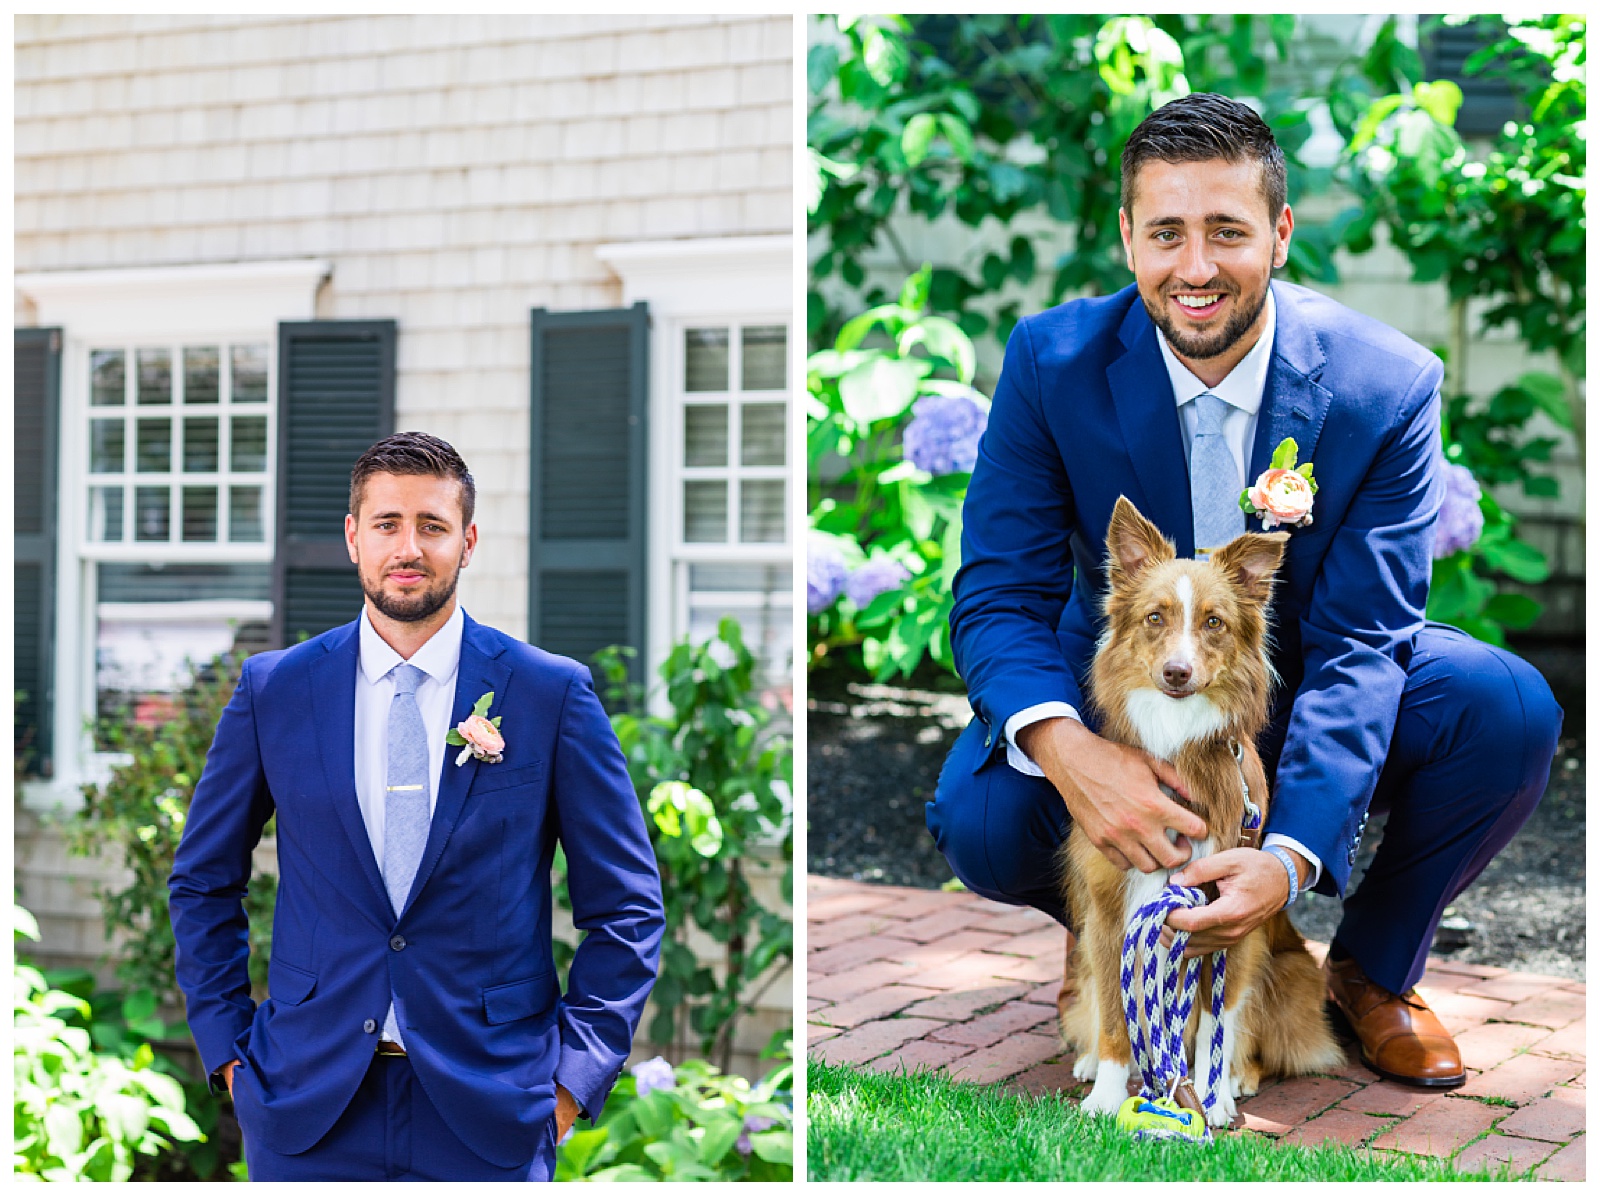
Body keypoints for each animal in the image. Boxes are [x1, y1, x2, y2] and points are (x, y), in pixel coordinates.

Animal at [1068, 496, 1344, 1126]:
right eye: (1154, 618)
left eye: (1214, 622)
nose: (1177, 672)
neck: (1176, 732)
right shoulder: (1109, 915)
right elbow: (1116, 1015)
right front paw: (1108, 1093)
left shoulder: (1232, 915)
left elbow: (1218, 1016)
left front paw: (1213, 1095)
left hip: (1291, 970)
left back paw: (1238, 1076)